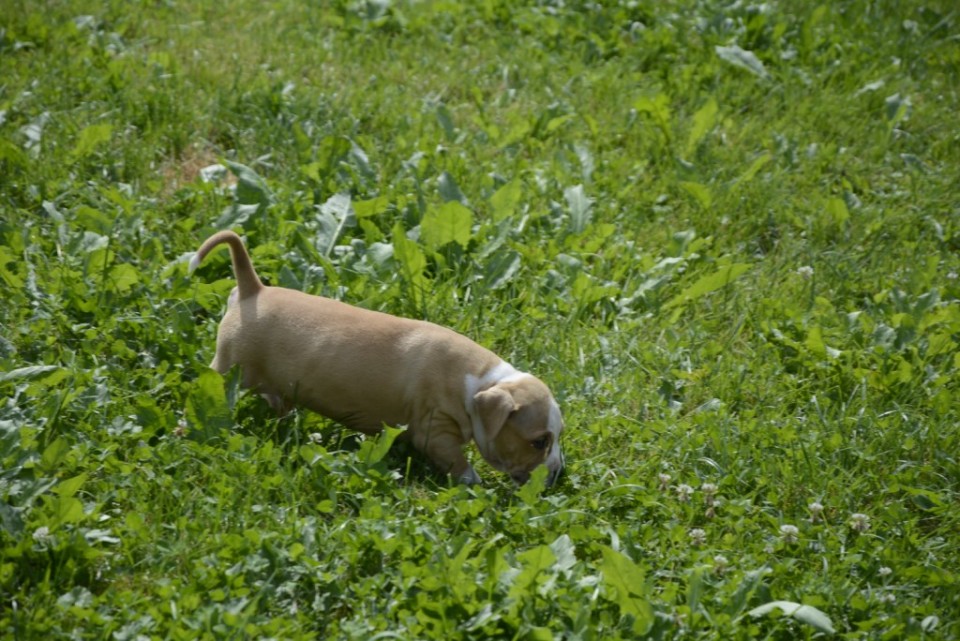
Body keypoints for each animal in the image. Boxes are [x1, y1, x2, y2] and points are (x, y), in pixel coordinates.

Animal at [188, 231, 564, 484]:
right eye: (539, 441)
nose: (559, 473)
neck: (482, 381)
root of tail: (253, 290)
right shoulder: (435, 431)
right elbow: (457, 462)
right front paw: (473, 482)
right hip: (227, 369)